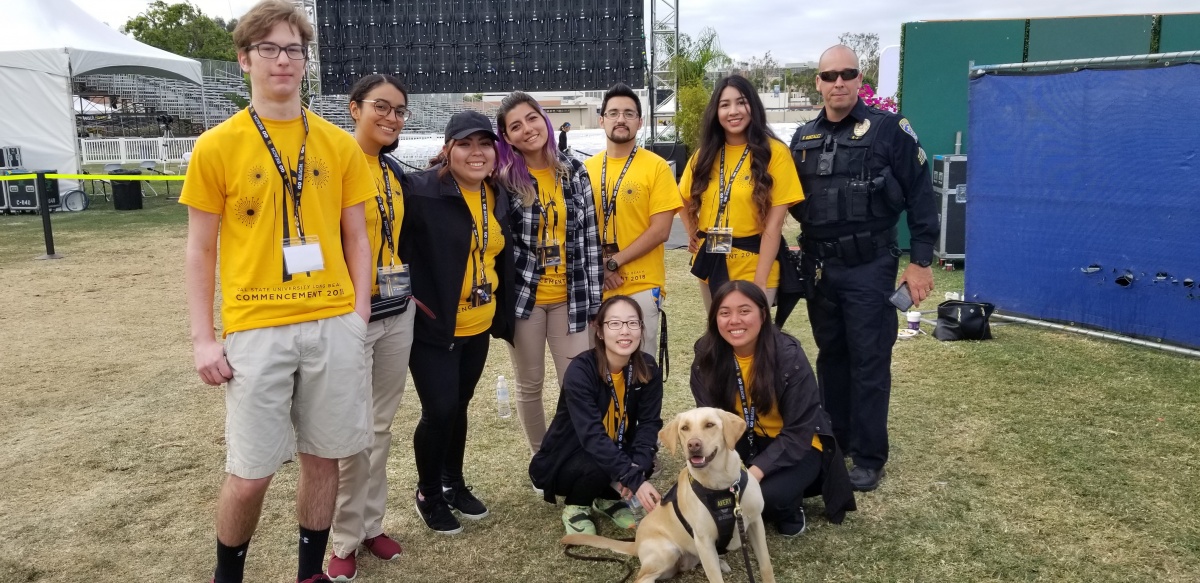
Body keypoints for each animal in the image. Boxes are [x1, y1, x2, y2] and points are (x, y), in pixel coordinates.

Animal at [559, 407, 772, 580]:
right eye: (684, 428)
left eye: (710, 424)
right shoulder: (704, 540)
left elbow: (766, 566)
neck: (721, 486)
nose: (693, 445)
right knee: (641, 578)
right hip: (668, 552)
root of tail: (636, 542)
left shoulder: (755, 523)